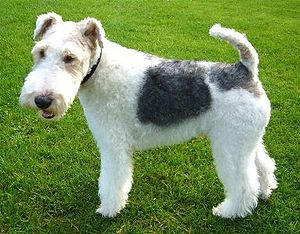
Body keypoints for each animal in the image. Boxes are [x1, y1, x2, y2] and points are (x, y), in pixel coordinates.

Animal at [18, 12, 276, 218]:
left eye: (70, 58)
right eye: (41, 52)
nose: (42, 100)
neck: (99, 70)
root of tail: (246, 69)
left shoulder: (113, 145)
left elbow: (112, 180)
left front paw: (109, 209)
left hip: (230, 145)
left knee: (243, 184)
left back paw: (230, 211)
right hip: (246, 140)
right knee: (263, 165)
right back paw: (266, 191)